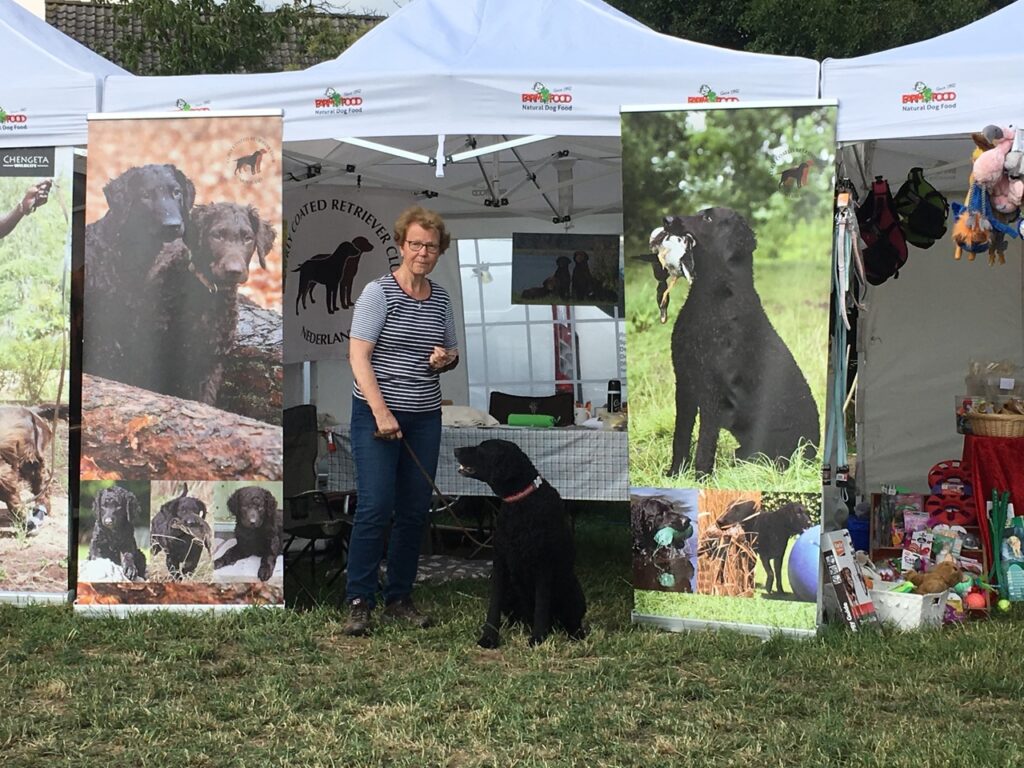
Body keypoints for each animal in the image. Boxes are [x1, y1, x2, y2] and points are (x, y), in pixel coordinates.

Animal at [454, 438, 589, 651]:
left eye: (483, 448)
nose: (455, 450)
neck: (521, 501)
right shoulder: (500, 563)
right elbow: (493, 606)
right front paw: (489, 638)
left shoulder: (543, 565)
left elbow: (541, 607)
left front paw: (538, 639)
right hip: (512, 591)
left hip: (571, 589)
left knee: (571, 620)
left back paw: (575, 635)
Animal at [659, 207, 819, 479]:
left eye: (707, 218)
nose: (667, 219)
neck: (713, 299)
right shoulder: (685, 382)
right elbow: (680, 436)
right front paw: (675, 473)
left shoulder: (711, 391)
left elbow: (705, 441)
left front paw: (701, 477)